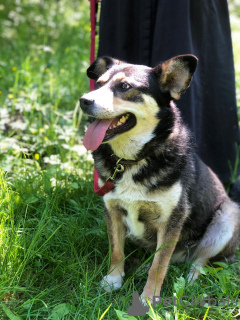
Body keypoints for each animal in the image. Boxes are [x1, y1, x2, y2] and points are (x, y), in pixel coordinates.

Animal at [80, 54, 240, 302]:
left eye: (124, 87)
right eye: (98, 83)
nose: (84, 101)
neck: (133, 160)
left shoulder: (172, 219)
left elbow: (159, 266)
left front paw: (149, 298)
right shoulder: (112, 209)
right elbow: (116, 250)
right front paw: (113, 280)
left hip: (228, 217)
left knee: (199, 260)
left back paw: (191, 280)